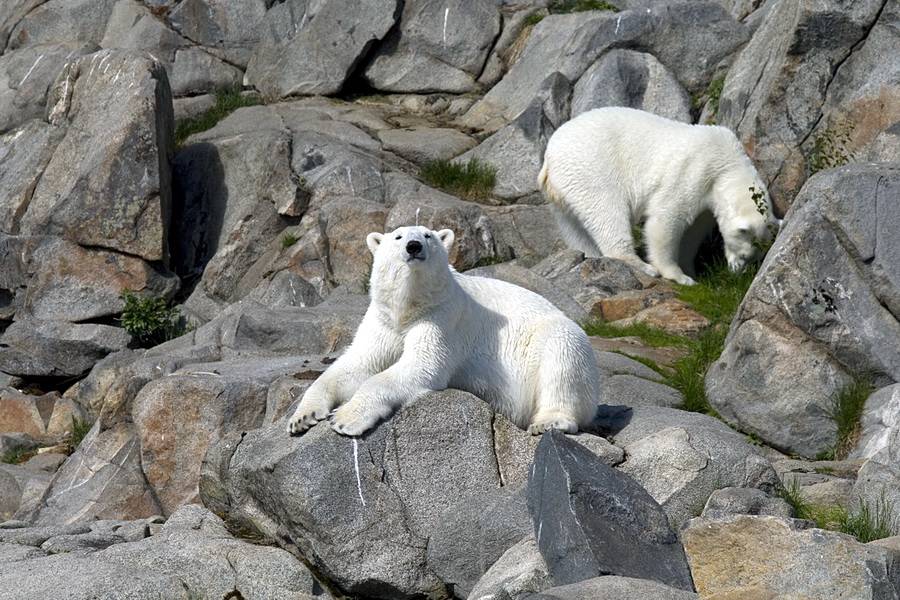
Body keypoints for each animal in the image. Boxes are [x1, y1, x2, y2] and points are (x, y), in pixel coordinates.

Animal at [286, 225, 596, 436]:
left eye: (428, 236)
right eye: (398, 237)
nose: (413, 246)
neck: (410, 306)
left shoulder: (443, 317)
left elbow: (420, 365)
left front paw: (345, 418)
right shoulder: (383, 320)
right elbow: (358, 362)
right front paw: (302, 417)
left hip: (555, 337)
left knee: (562, 359)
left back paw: (548, 422)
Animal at [536, 106, 780, 284]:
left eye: (754, 257)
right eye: (745, 255)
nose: (738, 273)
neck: (727, 164)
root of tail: (549, 158)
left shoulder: (707, 198)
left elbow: (693, 231)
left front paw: (690, 270)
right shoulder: (694, 171)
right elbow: (665, 220)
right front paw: (680, 277)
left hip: (563, 194)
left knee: (574, 227)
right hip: (591, 170)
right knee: (607, 212)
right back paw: (641, 266)